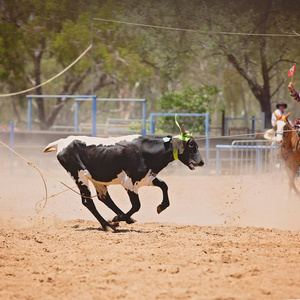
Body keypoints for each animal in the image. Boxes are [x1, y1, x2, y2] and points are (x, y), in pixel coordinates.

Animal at [44, 127, 204, 231]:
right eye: (191, 145)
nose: (201, 162)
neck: (144, 151)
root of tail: (62, 143)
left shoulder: (147, 178)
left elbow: (164, 185)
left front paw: (161, 206)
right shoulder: (129, 183)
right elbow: (137, 205)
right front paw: (117, 218)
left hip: (96, 179)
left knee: (104, 198)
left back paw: (121, 220)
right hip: (79, 176)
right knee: (88, 202)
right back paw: (108, 225)